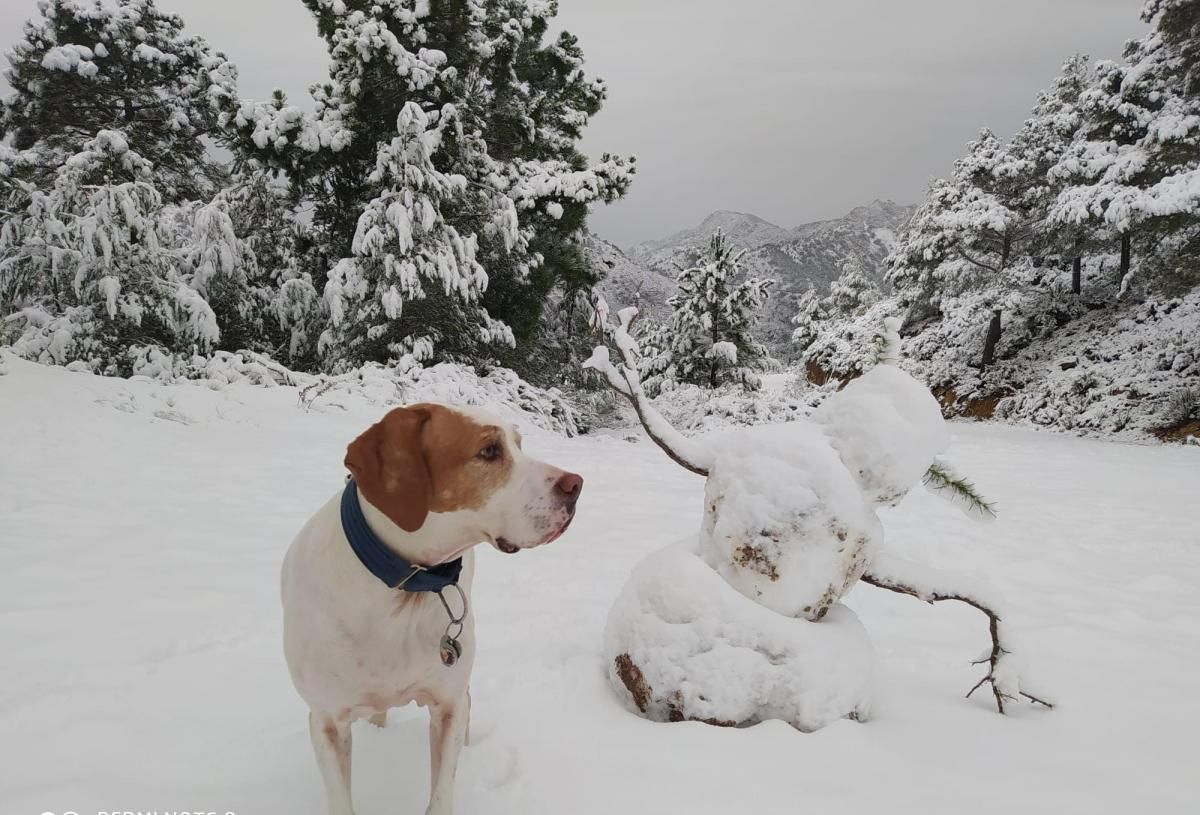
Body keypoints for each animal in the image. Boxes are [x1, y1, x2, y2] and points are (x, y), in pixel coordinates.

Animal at [280, 405, 580, 811]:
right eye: (489, 451)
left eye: (519, 444)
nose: (576, 484)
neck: (398, 591)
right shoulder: (326, 720)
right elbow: (341, 800)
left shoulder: (448, 704)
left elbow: (441, 792)